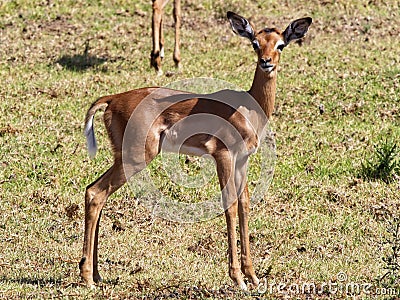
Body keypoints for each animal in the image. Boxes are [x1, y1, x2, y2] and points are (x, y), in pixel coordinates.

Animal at [79, 11, 312, 290]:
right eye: (255, 43)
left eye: (281, 44)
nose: (266, 62)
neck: (248, 109)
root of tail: (112, 99)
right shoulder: (223, 155)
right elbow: (230, 205)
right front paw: (237, 278)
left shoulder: (242, 160)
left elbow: (244, 205)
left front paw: (253, 276)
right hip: (135, 158)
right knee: (95, 193)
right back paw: (87, 278)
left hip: (124, 158)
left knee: (95, 192)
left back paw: (96, 274)